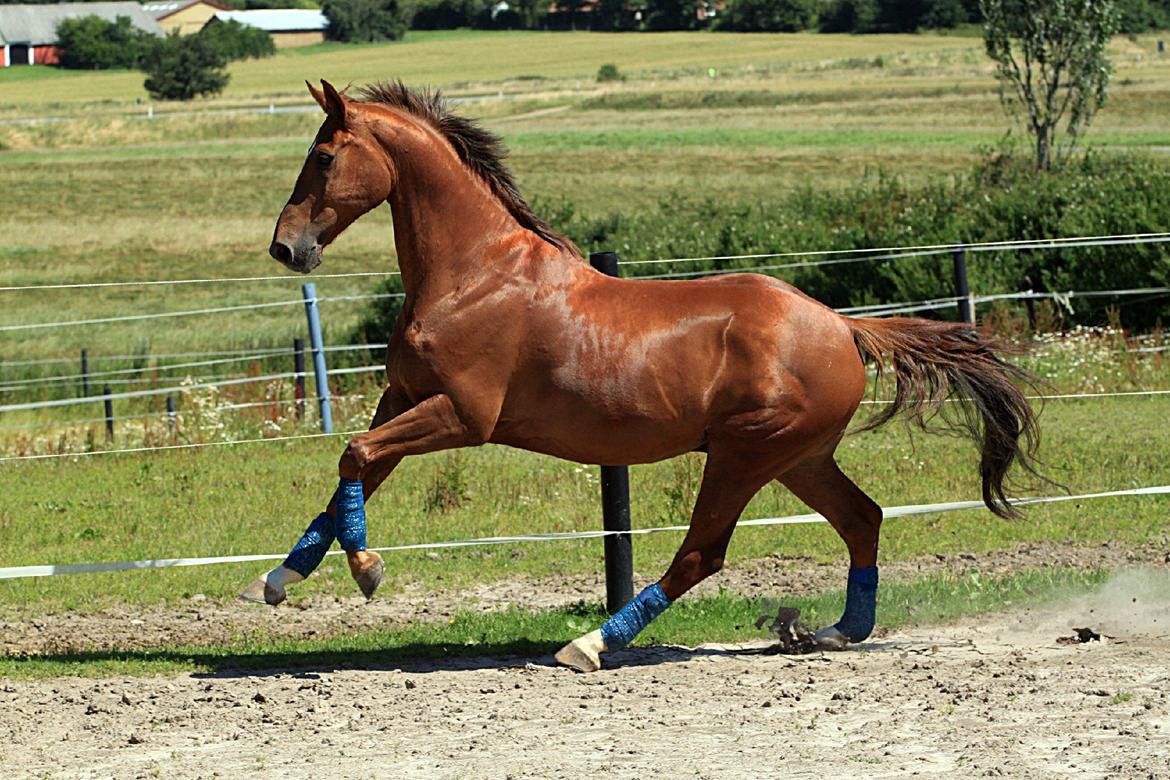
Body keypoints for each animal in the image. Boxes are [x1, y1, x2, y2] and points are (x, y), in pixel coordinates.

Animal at [244, 82, 1034, 673]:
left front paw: (367, 569)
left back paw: (590, 645)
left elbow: (354, 456)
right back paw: (835, 631)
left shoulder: (462, 416)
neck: (473, 274)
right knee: (862, 518)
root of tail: (843, 326)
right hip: (799, 457)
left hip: (745, 454)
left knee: (702, 554)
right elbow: (349, 474)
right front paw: (278, 580)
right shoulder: (402, 398)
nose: (285, 248)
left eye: (323, 156)